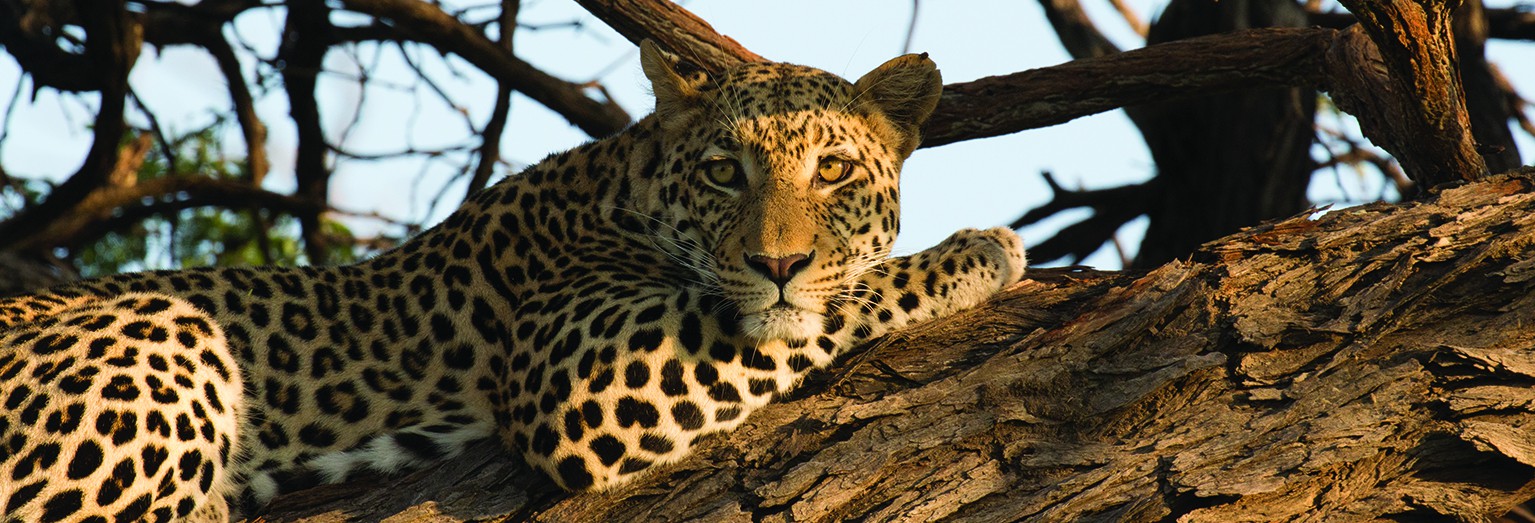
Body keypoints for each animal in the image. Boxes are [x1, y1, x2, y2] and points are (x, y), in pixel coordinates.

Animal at [2, 41, 1031, 521]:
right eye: (721, 172)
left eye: (834, 170)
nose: (775, 264)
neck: (623, 184)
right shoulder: (578, 369)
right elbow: (836, 302)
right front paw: (979, 251)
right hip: (162, 322)